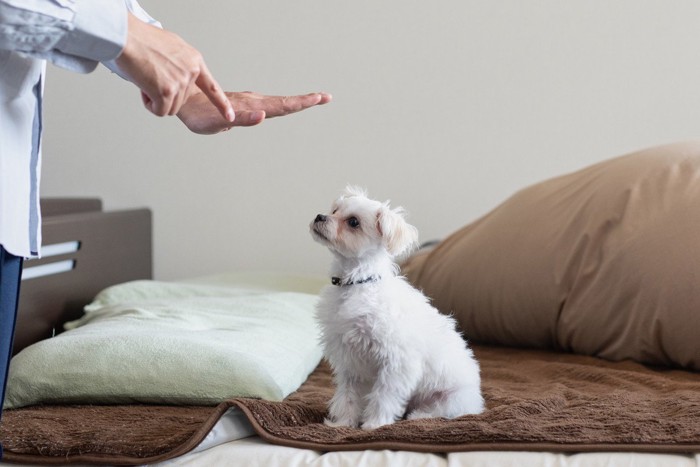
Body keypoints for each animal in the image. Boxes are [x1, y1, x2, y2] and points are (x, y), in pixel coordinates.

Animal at [308, 187, 484, 432]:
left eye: (353, 222)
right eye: (334, 210)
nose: (319, 216)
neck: (357, 284)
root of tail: (477, 402)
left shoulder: (396, 362)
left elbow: (384, 396)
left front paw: (374, 424)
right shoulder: (350, 363)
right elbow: (347, 397)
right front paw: (342, 424)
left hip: (451, 399)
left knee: (440, 412)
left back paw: (419, 416)